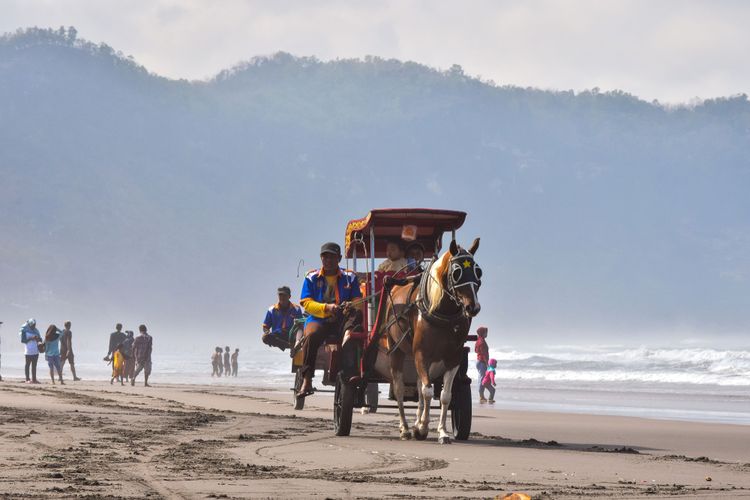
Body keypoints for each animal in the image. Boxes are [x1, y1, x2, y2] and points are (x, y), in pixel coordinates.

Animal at [384, 238, 484, 446]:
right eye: (457, 272)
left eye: (478, 271)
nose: (473, 307)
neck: (442, 312)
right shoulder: (422, 354)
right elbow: (428, 392)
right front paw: (421, 428)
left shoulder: (453, 358)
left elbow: (445, 396)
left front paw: (442, 432)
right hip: (396, 350)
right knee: (400, 389)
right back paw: (405, 428)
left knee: (420, 387)